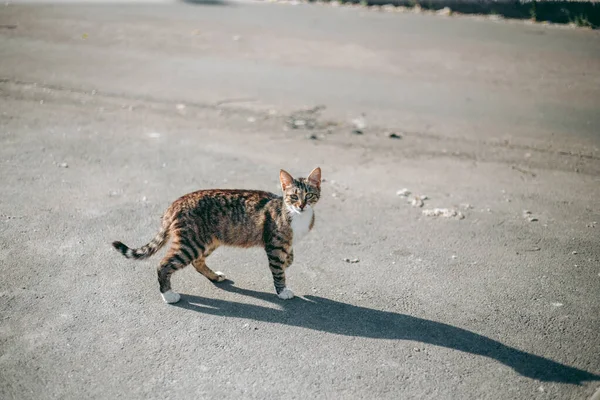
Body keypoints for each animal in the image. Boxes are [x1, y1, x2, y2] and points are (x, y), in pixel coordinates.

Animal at [110, 166, 322, 304]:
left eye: (309, 195)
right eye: (293, 196)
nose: (301, 205)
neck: (296, 215)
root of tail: (177, 202)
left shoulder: (285, 243)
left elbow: (290, 258)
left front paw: (288, 262)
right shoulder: (275, 244)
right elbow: (278, 270)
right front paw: (282, 290)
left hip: (208, 240)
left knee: (197, 262)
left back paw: (214, 277)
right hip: (191, 242)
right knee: (164, 264)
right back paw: (168, 295)